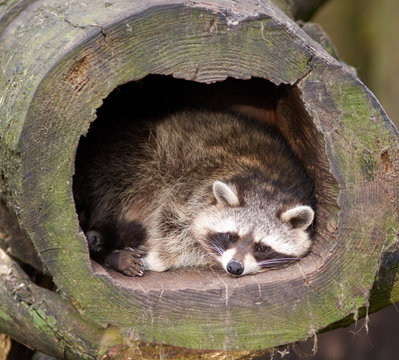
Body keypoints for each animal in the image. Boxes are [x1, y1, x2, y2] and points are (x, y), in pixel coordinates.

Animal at [72, 111, 316, 278]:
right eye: (231, 236)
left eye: (262, 247)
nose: (234, 267)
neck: (269, 184)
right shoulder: (187, 189)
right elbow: (171, 225)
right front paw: (160, 256)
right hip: (134, 161)